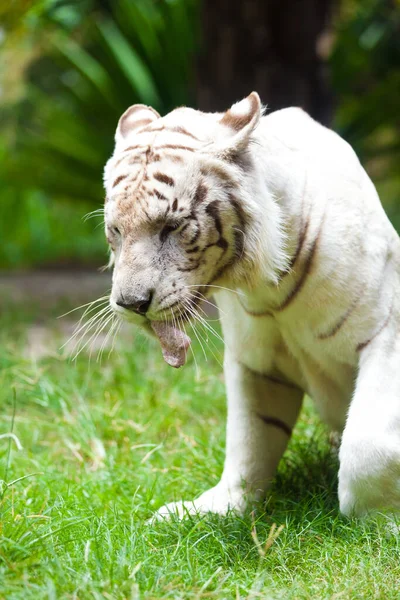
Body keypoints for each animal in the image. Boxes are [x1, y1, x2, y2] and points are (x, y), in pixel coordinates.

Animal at [102, 91, 400, 516]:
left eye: (172, 226)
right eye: (116, 230)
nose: (131, 303)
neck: (270, 286)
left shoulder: (385, 336)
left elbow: (366, 449)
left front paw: (377, 522)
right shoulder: (255, 362)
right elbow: (249, 440)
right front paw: (218, 508)